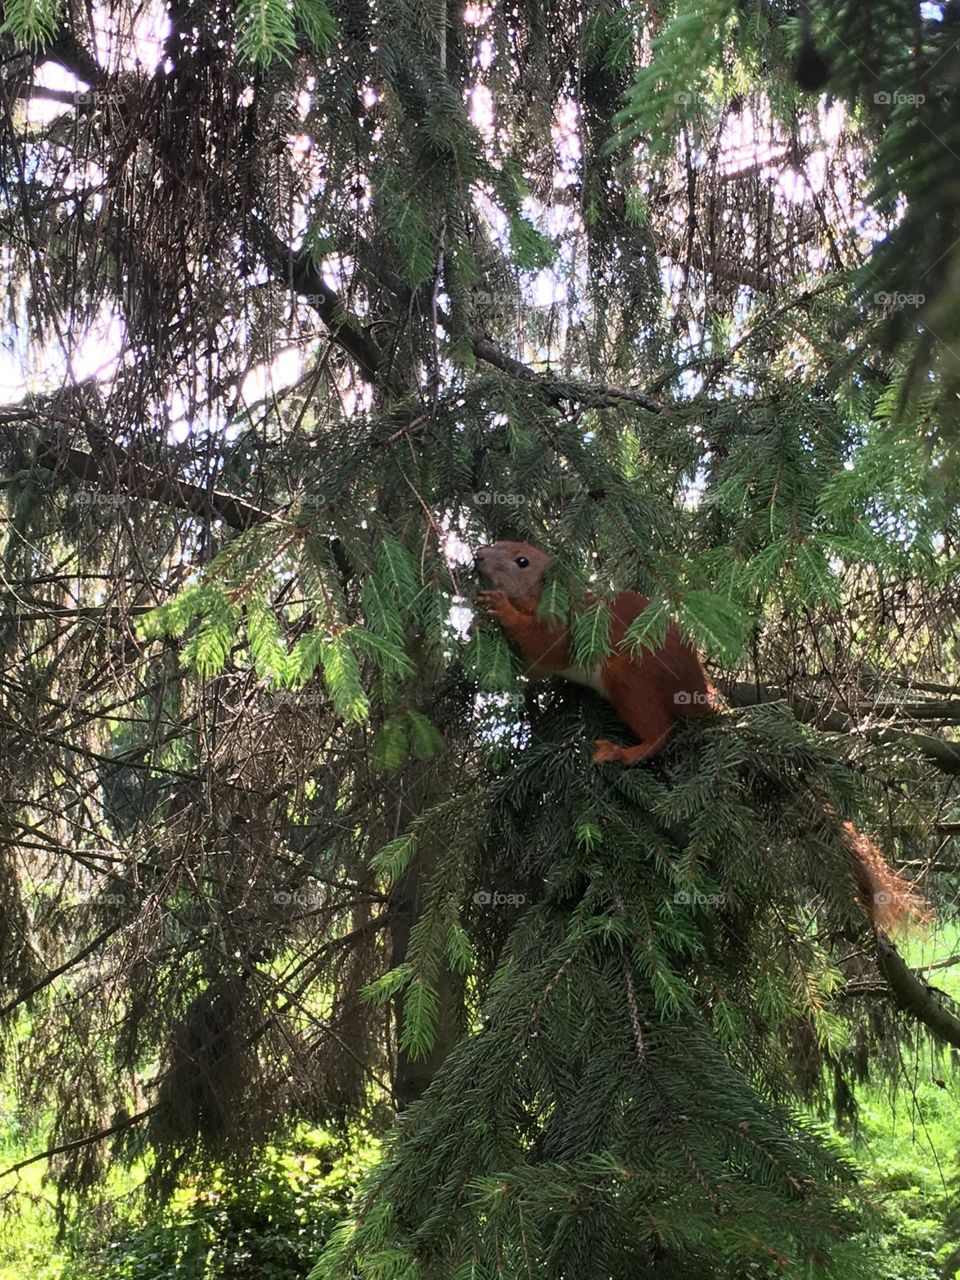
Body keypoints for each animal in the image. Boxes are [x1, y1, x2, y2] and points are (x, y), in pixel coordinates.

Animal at [474, 539, 928, 933]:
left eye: (521, 561)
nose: (477, 556)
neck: (558, 596)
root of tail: (699, 694)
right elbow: (534, 669)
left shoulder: (567, 629)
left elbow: (544, 646)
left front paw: (498, 608)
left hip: (629, 680)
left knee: (660, 732)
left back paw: (623, 752)